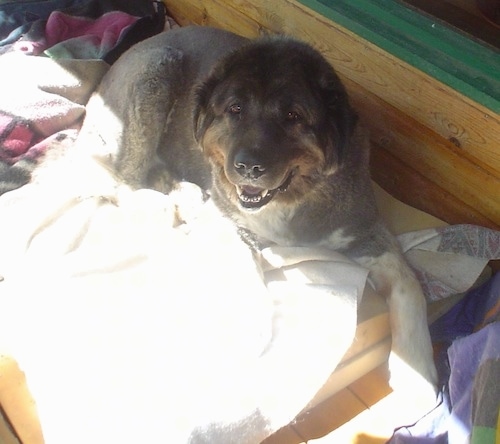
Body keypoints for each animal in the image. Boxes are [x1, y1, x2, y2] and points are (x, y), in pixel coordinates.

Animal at [83, 26, 438, 402]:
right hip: (156, 72)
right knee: (126, 180)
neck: (289, 198)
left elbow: (409, 283)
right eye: (235, 108)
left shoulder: (364, 230)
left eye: (293, 116)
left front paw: (416, 372)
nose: (248, 166)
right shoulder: (227, 222)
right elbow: (243, 264)